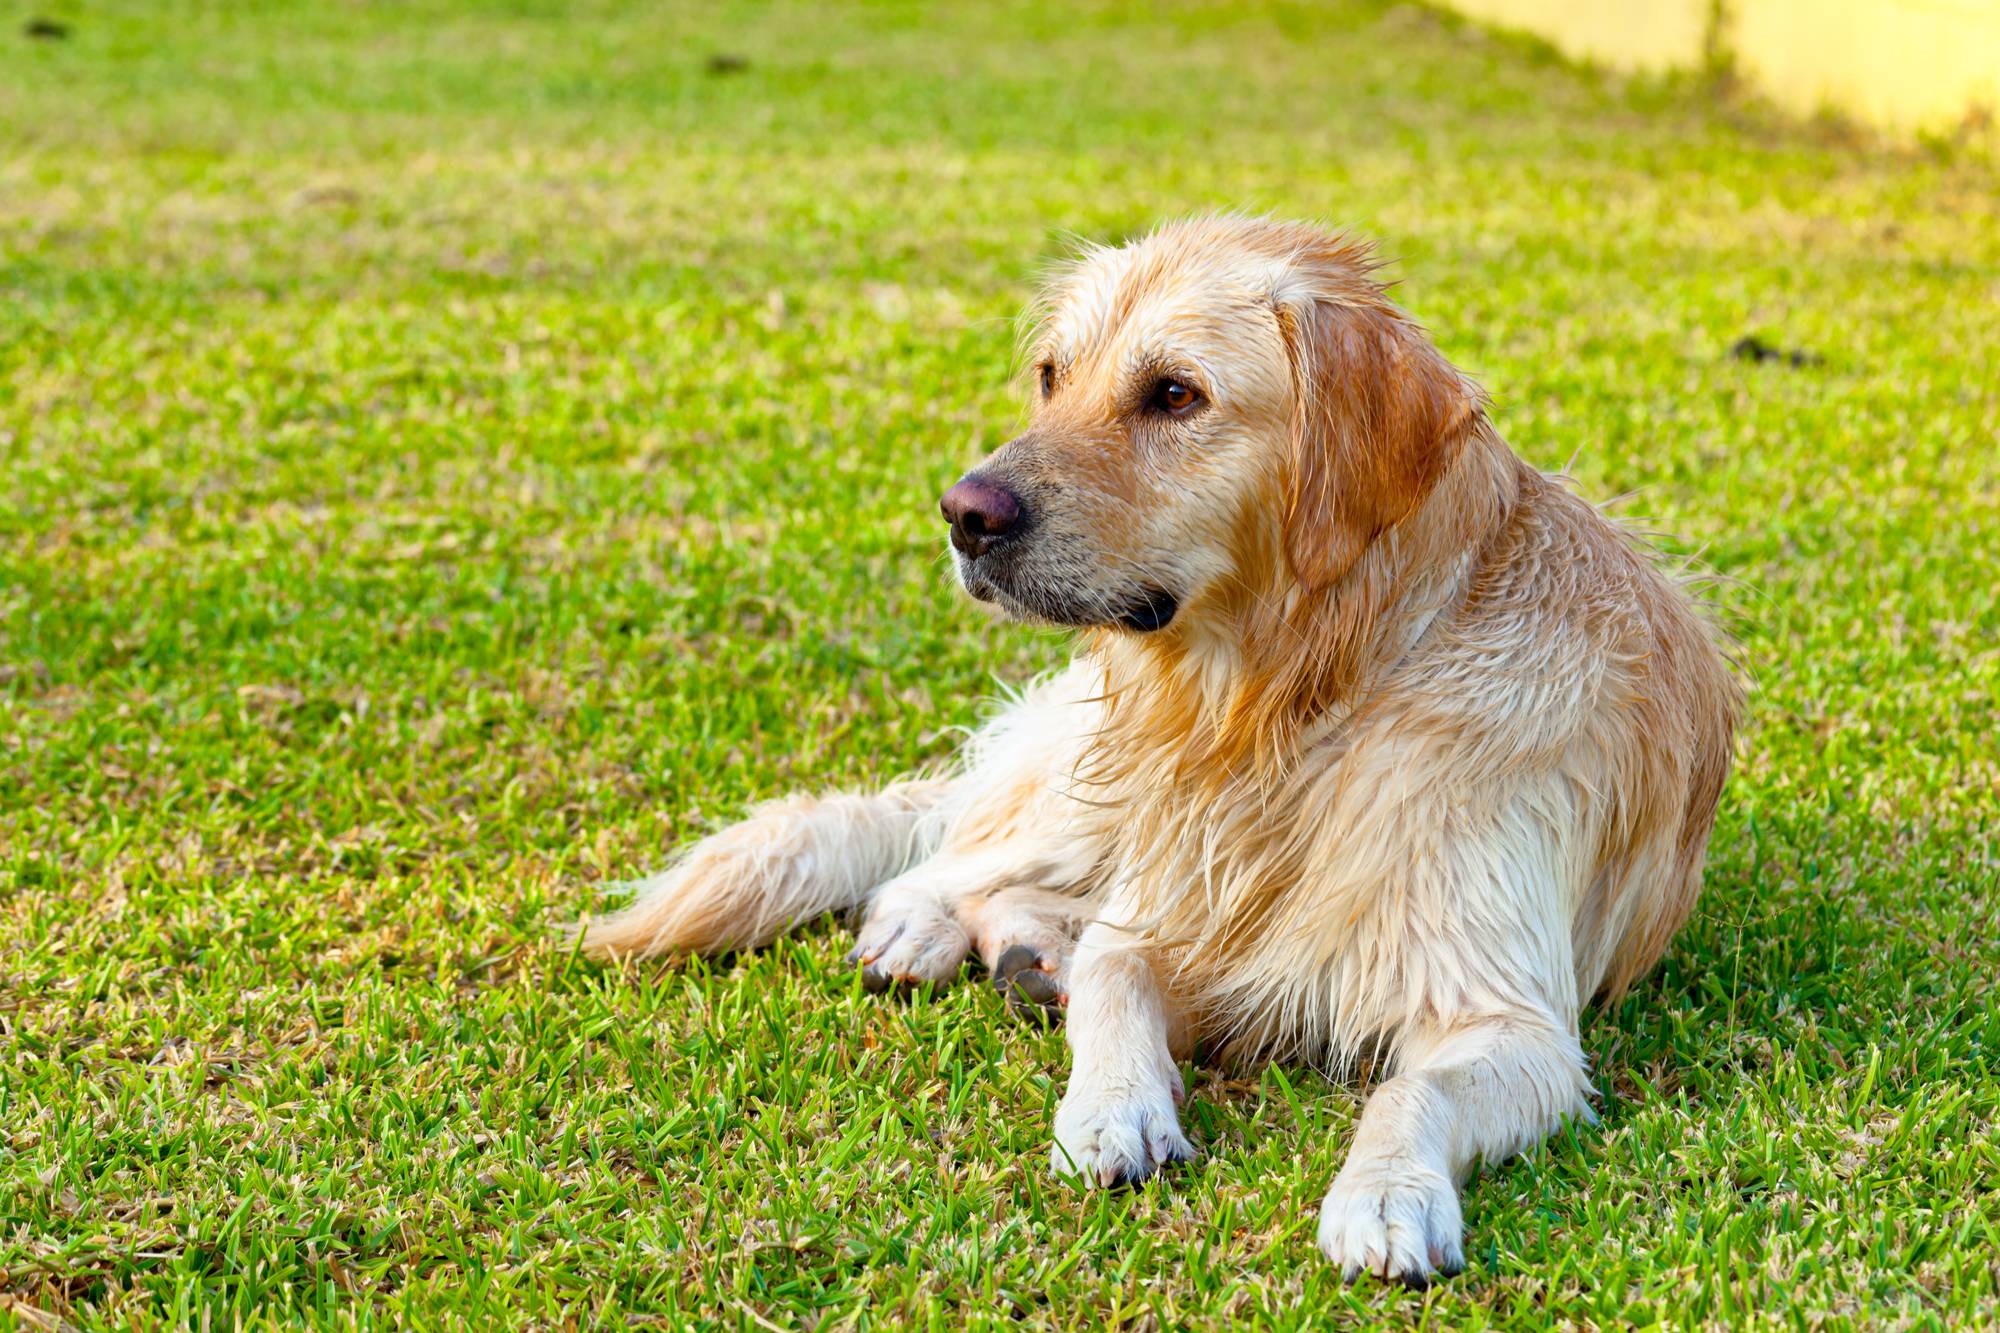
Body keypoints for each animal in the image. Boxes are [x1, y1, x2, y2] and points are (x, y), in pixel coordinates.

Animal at [580, 215, 1736, 1280]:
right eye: (1052, 377)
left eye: (1175, 395)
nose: (962, 513)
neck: (1298, 704)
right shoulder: (1166, 910)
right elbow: (1113, 976)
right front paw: (1112, 1107)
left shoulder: (1511, 1019)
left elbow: (1413, 1088)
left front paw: (1387, 1194)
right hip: (1085, 786)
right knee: (947, 852)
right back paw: (921, 930)